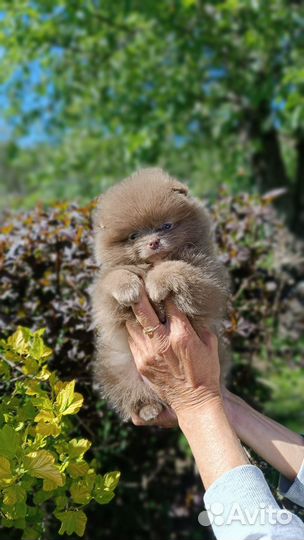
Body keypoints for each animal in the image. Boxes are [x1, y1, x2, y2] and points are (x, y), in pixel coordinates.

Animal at [90, 169, 230, 422]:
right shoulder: (106, 302)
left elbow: (178, 268)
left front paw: (157, 282)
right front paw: (128, 287)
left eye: (166, 226)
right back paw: (148, 409)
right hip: (117, 369)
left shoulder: (208, 281)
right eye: (133, 236)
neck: (152, 263)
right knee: (131, 393)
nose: (153, 242)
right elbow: (113, 278)